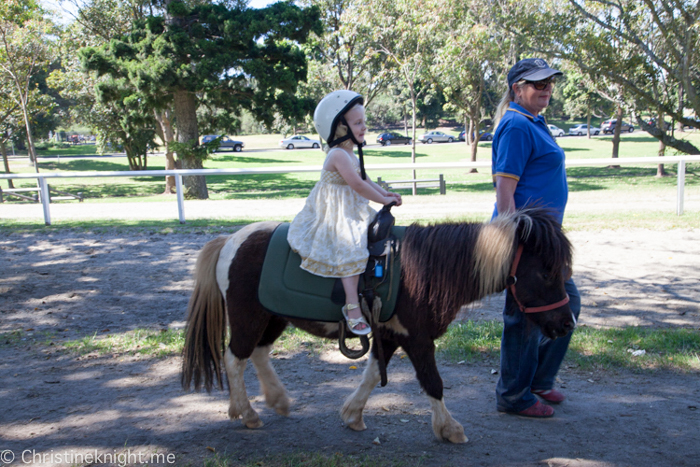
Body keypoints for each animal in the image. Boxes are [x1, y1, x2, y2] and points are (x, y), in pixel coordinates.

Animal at [179, 209, 576, 446]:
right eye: (546, 272)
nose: (566, 323)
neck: (425, 270)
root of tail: (229, 240)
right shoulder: (417, 339)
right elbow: (433, 382)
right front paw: (450, 429)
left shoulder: (392, 335)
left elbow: (372, 375)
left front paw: (352, 415)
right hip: (249, 318)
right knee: (235, 359)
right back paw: (246, 413)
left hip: (274, 316)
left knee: (257, 354)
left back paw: (275, 401)